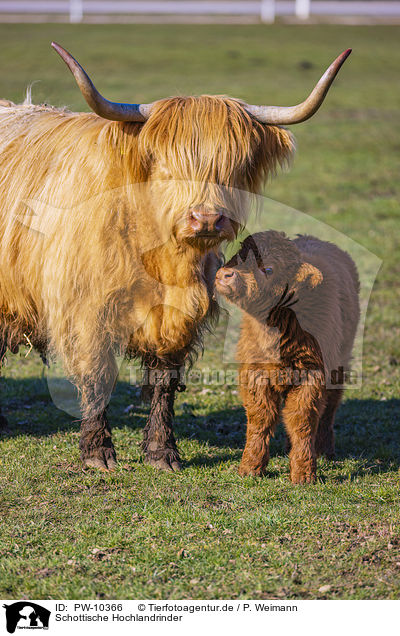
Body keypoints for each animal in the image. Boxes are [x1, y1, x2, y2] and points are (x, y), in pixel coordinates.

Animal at [0, 43, 350, 472]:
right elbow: (97, 375)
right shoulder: (85, 311)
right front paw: (98, 452)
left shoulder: (179, 315)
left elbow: (164, 380)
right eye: (167, 165)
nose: (207, 218)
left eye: (232, 167)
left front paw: (161, 451)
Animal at [214, 231, 360, 484]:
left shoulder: (312, 374)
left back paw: (325, 449)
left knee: (329, 409)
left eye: (269, 269)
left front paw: (303, 472)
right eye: (239, 255)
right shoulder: (255, 372)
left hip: (338, 366)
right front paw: (250, 467)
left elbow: (302, 419)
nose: (225, 274)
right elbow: (260, 419)